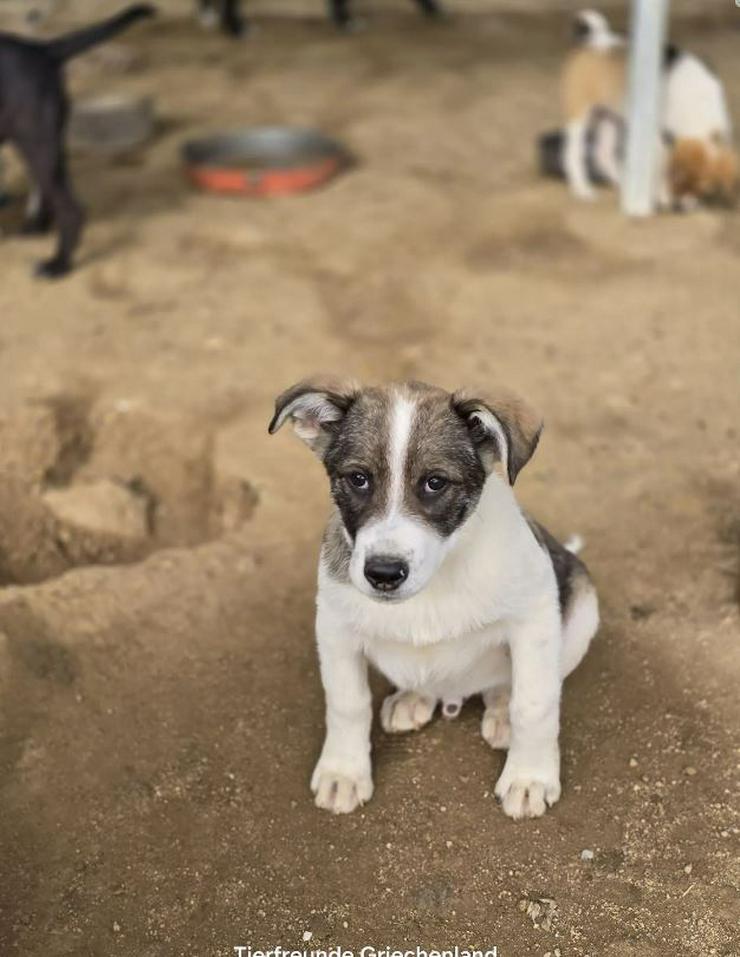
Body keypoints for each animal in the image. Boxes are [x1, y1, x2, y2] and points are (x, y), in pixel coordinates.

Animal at [0, 4, 156, 276]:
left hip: (34, 139)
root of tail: (43, 49)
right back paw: (38, 227)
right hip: (41, 141)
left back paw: (58, 264)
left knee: (71, 209)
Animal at [268, 378, 600, 816]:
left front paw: (529, 777)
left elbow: (534, 703)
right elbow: (347, 702)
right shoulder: (335, 627)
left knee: (509, 684)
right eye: (357, 478)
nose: (383, 573)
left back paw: (500, 712)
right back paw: (413, 698)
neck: (439, 575)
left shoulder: (535, 616)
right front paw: (344, 772)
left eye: (435, 482)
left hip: (582, 610)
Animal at [560, 9, 736, 206]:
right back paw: (582, 189)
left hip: (611, 116)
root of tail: (595, 40)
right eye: (676, 178)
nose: (682, 206)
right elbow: (658, 166)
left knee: (602, 154)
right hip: (580, 114)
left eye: (703, 185)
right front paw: (662, 195)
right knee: (572, 154)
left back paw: (623, 182)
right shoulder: (657, 136)